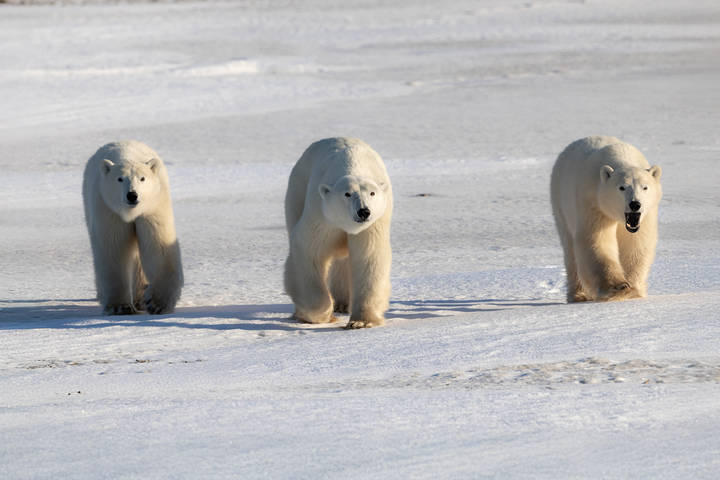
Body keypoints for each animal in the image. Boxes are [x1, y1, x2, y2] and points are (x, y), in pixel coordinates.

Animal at [82, 140, 184, 316]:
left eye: (142, 178)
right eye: (119, 179)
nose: (132, 195)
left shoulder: (153, 206)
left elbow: (158, 244)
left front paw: (157, 303)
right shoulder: (109, 210)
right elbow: (114, 249)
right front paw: (119, 307)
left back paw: (140, 297)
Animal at [284, 137, 394, 328]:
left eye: (372, 193)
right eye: (347, 194)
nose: (363, 211)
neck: (353, 164)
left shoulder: (373, 225)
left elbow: (369, 258)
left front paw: (361, 322)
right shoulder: (321, 216)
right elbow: (308, 252)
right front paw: (321, 315)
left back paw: (343, 303)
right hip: (297, 192)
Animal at [552, 135, 664, 302]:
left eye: (645, 187)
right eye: (622, 187)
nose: (635, 204)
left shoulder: (645, 216)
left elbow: (636, 244)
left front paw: (633, 288)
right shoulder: (593, 202)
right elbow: (596, 241)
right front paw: (619, 287)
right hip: (560, 204)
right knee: (570, 250)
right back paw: (579, 295)